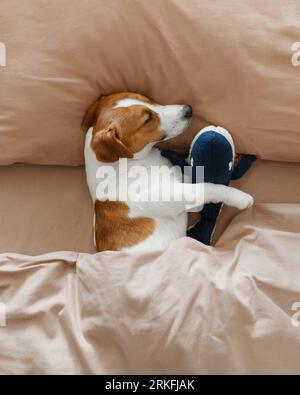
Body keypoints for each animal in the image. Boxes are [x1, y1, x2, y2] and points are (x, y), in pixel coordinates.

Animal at [82, 92, 253, 254]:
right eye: (147, 120)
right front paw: (239, 197)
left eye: (146, 98)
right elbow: (208, 187)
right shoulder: (176, 196)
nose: (188, 109)